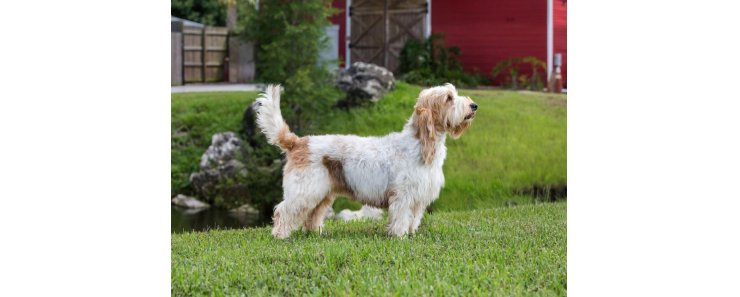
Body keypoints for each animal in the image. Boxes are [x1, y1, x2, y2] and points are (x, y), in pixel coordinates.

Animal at [256, 83, 480, 238]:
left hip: (323, 193)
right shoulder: (403, 195)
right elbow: (401, 217)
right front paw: (400, 236)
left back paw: (316, 232)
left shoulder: (419, 195)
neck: (419, 144)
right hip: (304, 190)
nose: (474, 105)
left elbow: (413, 218)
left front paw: (411, 233)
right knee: (283, 210)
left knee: (312, 215)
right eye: (449, 98)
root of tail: (298, 142)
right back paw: (280, 235)